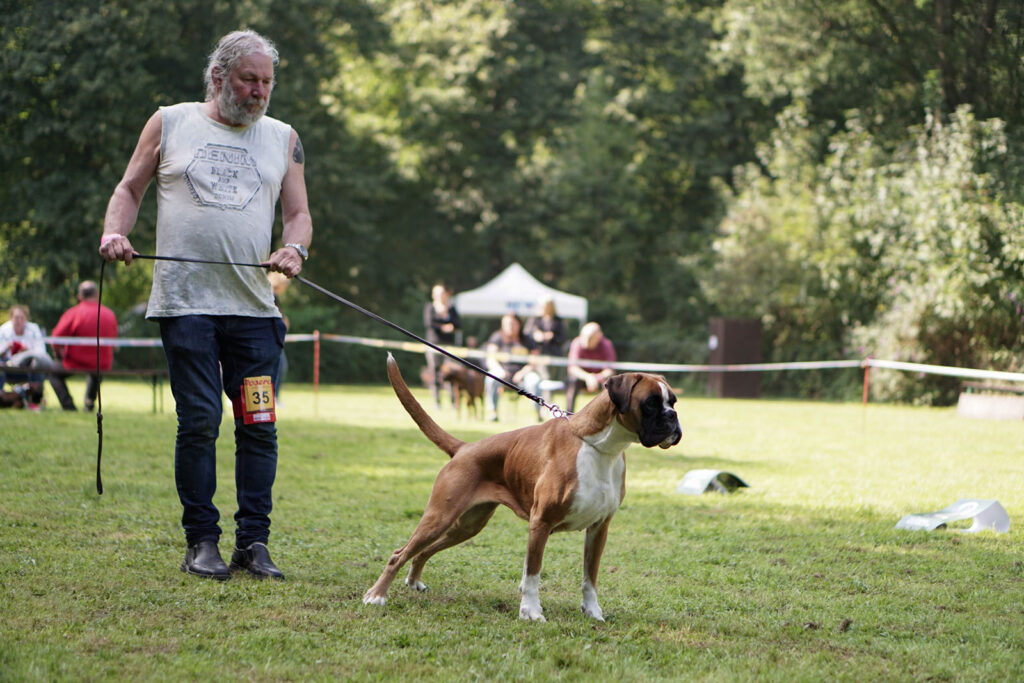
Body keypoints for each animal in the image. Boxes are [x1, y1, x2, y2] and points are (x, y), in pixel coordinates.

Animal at [364, 356, 684, 622]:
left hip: (466, 525)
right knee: (399, 553)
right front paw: (530, 611)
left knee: (423, 551)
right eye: (650, 403)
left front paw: (593, 612)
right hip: (439, 516)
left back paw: (414, 581)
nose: (672, 417)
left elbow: (589, 578)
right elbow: (533, 574)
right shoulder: (540, 523)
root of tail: (465, 448)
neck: (601, 448)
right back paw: (376, 596)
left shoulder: (599, 529)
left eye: (673, 402)